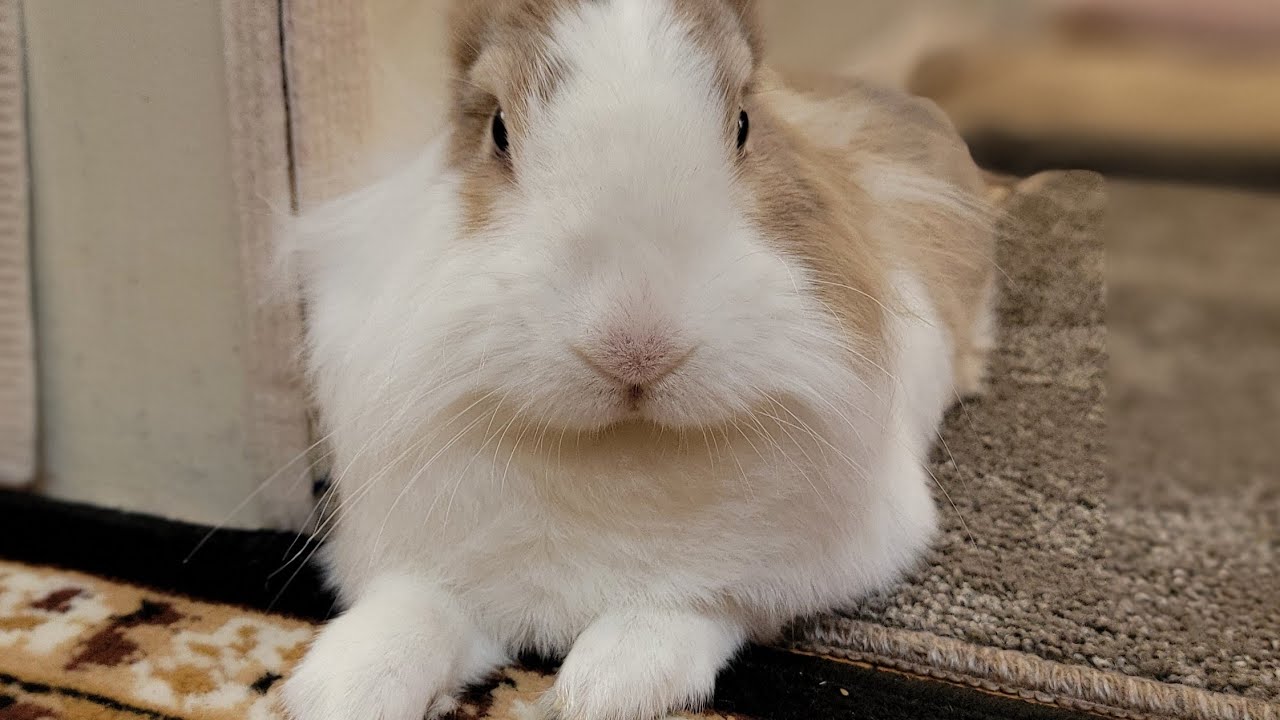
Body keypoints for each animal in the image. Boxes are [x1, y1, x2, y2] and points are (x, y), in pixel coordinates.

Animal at [279, 1, 997, 719]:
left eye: (744, 123)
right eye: (498, 131)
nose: (636, 345)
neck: (620, 446)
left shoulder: (768, 573)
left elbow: (691, 607)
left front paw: (602, 687)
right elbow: (413, 611)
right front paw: (336, 688)